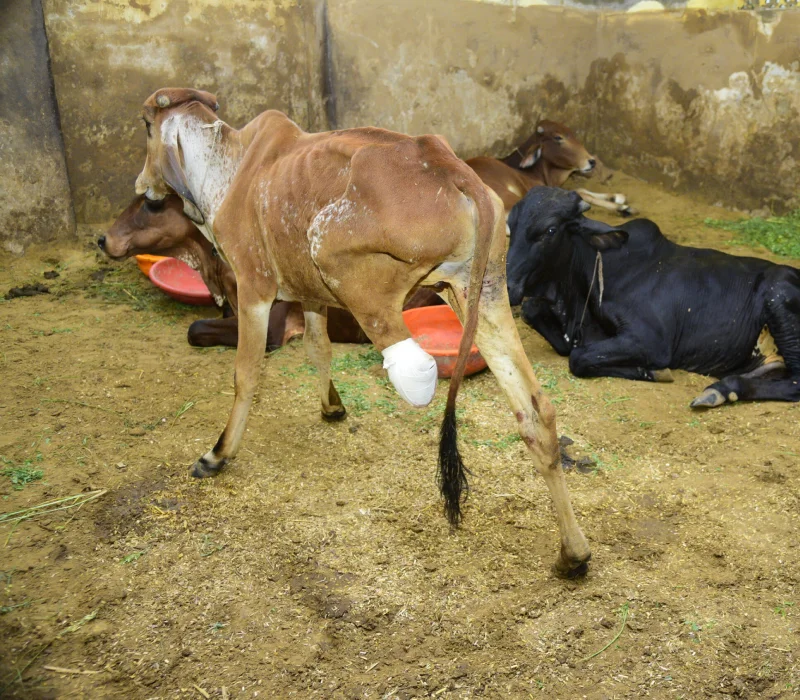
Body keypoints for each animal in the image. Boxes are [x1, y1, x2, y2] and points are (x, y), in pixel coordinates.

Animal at [466, 120, 634, 216]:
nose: (592, 161)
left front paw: (617, 197)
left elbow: (580, 190)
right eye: (558, 137)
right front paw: (622, 206)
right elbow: (579, 192)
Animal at [506, 186, 800, 408]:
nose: (507, 286)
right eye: (510, 225)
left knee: (795, 384)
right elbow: (536, 314)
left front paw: (653, 372)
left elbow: (578, 358)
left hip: (778, 292)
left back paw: (720, 389)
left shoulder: (652, 341)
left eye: (550, 230)